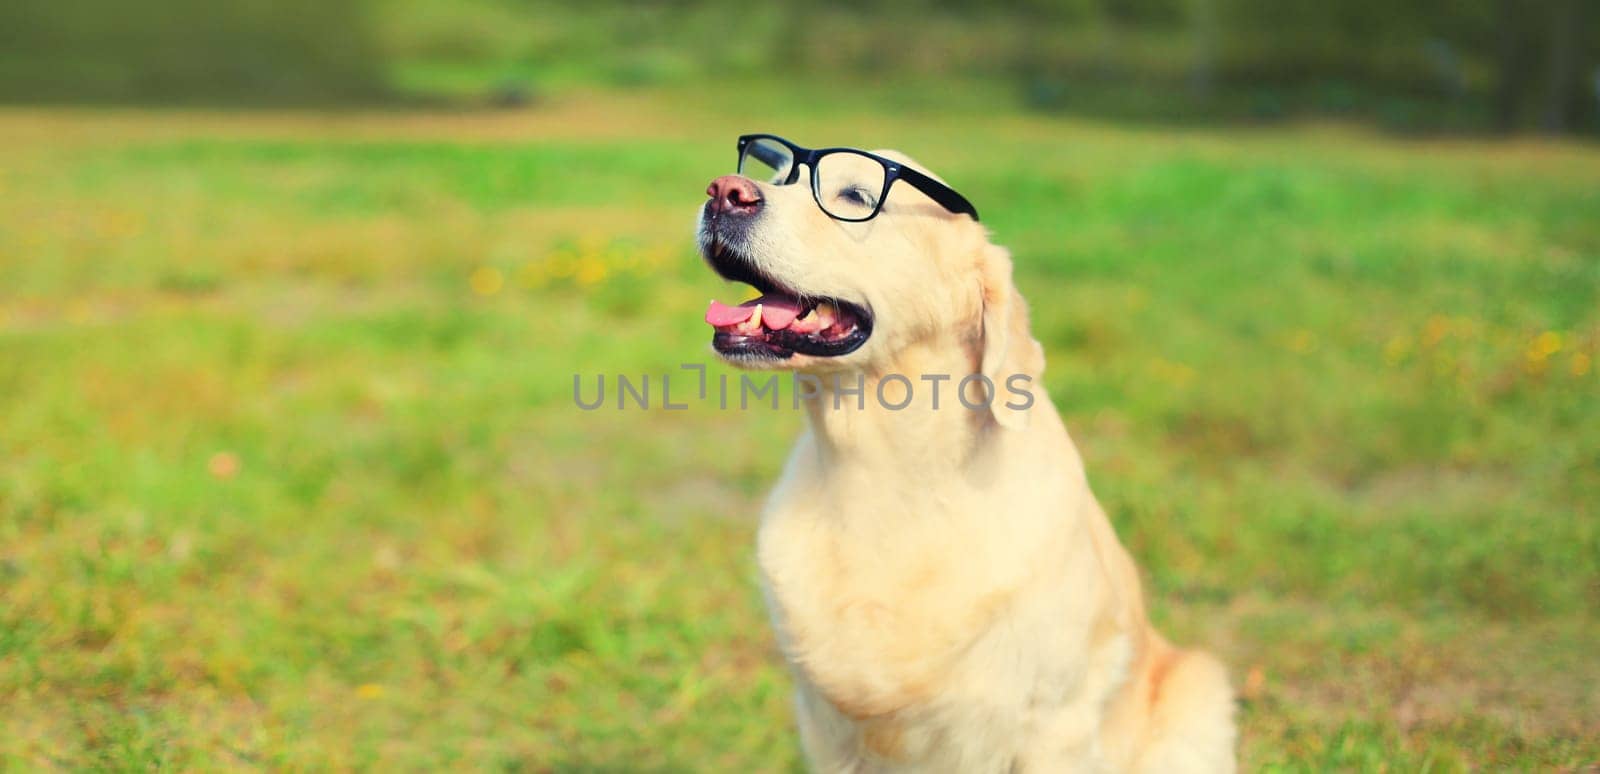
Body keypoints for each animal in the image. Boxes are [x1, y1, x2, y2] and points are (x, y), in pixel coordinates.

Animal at [694, 135, 1228, 770]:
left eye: (854, 196)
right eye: (775, 174)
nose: (723, 191)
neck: (884, 475)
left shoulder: (1056, 724)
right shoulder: (825, 725)